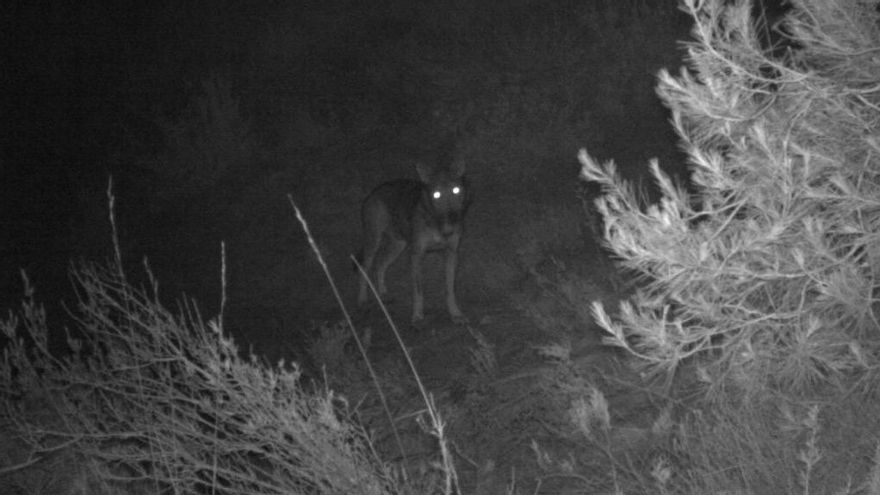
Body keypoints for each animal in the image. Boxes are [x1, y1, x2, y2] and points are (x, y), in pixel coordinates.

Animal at [356, 161, 470, 328]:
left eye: (456, 190)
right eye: (436, 194)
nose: (453, 217)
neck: (438, 223)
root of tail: (372, 194)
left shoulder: (452, 253)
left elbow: (450, 289)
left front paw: (455, 314)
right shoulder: (416, 255)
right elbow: (418, 291)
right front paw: (417, 317)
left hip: (398, 246)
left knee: (380, 265)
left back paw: (383, 294)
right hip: (374, 243)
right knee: (364, 268)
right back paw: (362, 300)